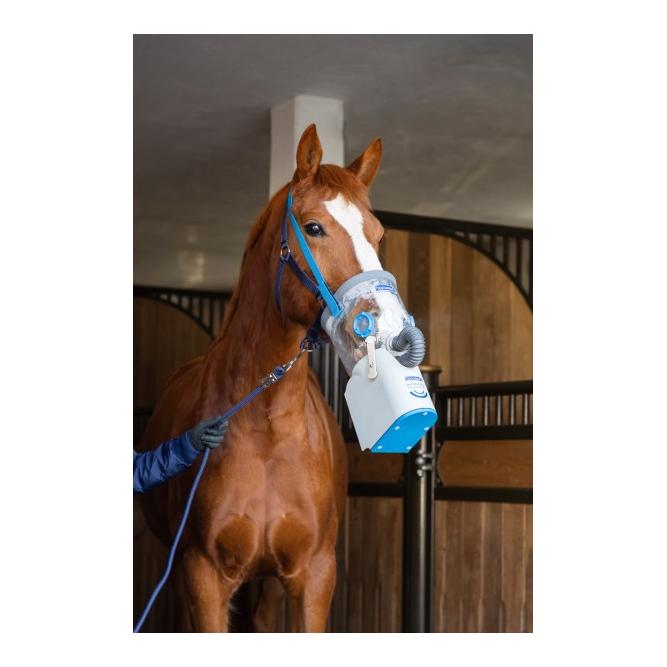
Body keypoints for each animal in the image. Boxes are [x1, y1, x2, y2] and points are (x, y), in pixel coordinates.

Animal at [138, 124, 384, 632]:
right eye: (313, 227)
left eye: (378, 235)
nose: (385, 322)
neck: (267, 430)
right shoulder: (202, 577)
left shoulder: (315, 576)